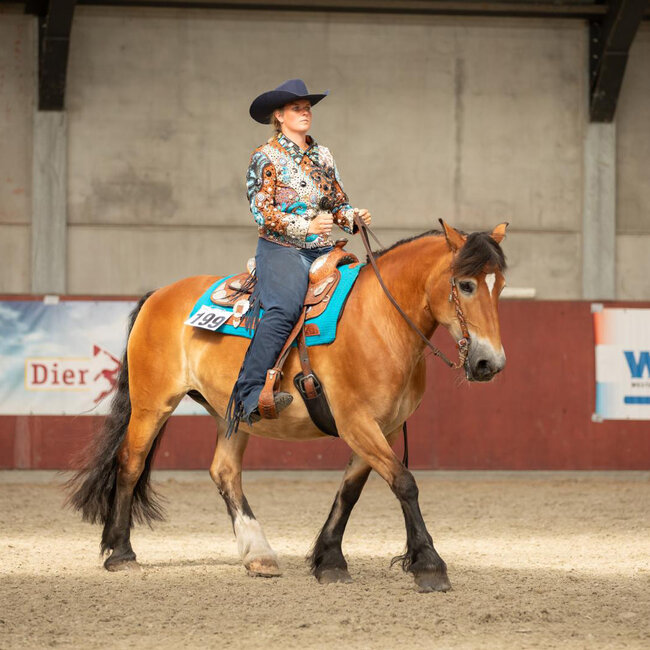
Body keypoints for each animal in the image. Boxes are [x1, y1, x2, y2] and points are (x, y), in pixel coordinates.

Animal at [67, 220, 507, 593]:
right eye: (466, 285)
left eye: (500, 285)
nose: (490, 363)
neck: (381, 321)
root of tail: (158, 295)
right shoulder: (357, 423)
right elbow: (404, 483)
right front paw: (429, 564)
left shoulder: (381, 428)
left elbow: (350, 491)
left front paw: (330, 560)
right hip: (152, 404)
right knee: (130, 463)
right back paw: (121, 552)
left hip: (231, 415)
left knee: (224, 472)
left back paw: (258, 554)